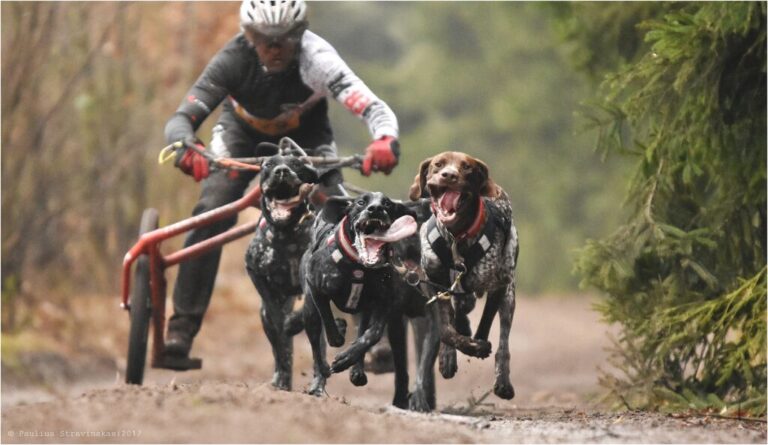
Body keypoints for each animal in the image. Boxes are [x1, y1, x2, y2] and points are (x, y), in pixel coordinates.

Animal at [296, 191, 436, 406]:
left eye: (387, 204)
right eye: (361, 202)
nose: (375, 208)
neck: (359, 268)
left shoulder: (384, 304)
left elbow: (372, 334)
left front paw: (347, 358)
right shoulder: (315, 287)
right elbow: (328, 324)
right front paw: (337, 335)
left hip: (366, 311)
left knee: (362, 332)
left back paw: (356, 369)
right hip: (310, 313)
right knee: (317, 348)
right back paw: (319, 381)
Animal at [408, 152, 520, 398]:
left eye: (466, 167)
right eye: (438, 164)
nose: (448, 175)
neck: (456, 237)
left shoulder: (498, 285)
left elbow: (485, 325)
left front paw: (477, 345)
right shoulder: (433, 283)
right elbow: (445, 330)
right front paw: (452, 353)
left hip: (509, 294)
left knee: (504, 341)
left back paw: (503, 380)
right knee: (459, 309)